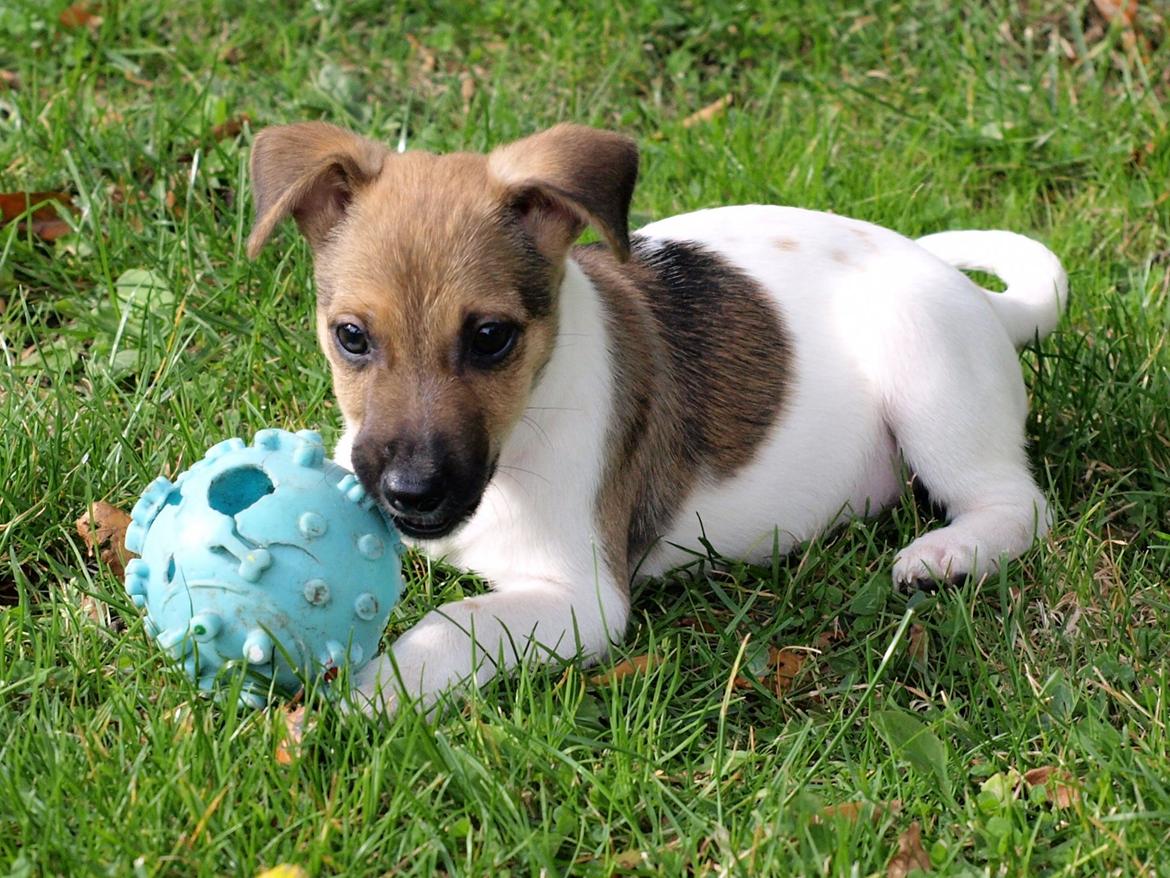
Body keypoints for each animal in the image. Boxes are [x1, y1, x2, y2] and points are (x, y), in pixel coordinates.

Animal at [249, 122, 1071, 716]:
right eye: (351, 337)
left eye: (490, 338)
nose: (411, 494)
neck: (525, 429)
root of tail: (978, 297)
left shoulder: (581, 600)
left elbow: (454, 624)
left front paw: (366, 698)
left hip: (927, 369)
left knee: (1020, 505)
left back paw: (947, 554)